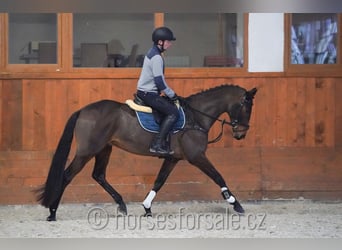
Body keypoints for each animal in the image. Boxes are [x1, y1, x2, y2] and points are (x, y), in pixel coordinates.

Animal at [36, 84, 256, 221]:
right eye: (247, 107)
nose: (241, 134)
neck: (196, 116)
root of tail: (83, 110)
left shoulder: (173, 158)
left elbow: (159, 181)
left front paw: (147, 207)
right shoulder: (196, 157)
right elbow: (218, 176)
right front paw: (235, 203)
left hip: (104, 148)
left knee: (98, 175)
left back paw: (122, 205)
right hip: (87, 151)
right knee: (66, 176)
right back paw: (52, 212)